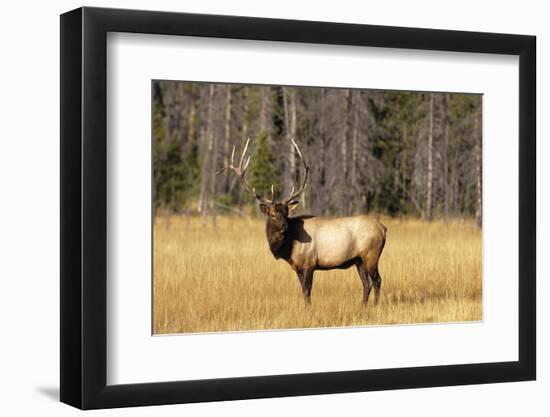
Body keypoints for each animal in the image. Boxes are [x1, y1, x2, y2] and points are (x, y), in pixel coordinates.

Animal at [217, 138, 388, 304]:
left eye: (286, 213)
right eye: (272, 214)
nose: (284, 226)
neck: (288, 249)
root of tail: (383, 228)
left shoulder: (309, 263)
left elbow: (307, 292)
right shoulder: (298, 267)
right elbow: (304, 291)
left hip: (371, 254)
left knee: (377, 280)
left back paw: (375, 305)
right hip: (359, 260)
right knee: (367, 283)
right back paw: (363, 306)